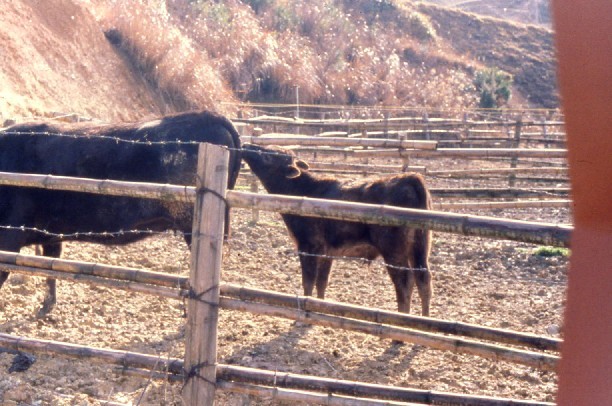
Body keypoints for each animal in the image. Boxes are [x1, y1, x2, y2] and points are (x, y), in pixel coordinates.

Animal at [241, 144, 432, 316]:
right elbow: (321, 282)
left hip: (394, 251)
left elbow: (308, 281)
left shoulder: (308, 246)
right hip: (420, 248)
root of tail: (409, 177)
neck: (304, 190)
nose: (247, 145)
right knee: (423, 280)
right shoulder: (327, 252)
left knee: (404, 283)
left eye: (268, 156)